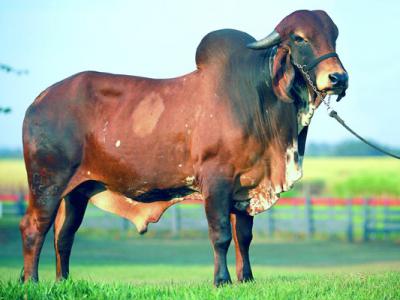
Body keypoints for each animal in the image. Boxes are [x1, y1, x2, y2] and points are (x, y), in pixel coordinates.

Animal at [21, 9, 346, 286]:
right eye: (299, 38)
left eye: (334, 35)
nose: (338, 77)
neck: (259, 98)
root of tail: (39, 99)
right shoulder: (216, 181)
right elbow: (221, 234)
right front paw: (221, 280)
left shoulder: (246, 187)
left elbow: (244, 236)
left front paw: (246, 278)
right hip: (47, 183)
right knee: (34, 228)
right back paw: (31, 281)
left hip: (77, 191)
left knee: (64, 235)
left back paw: (62, 281)